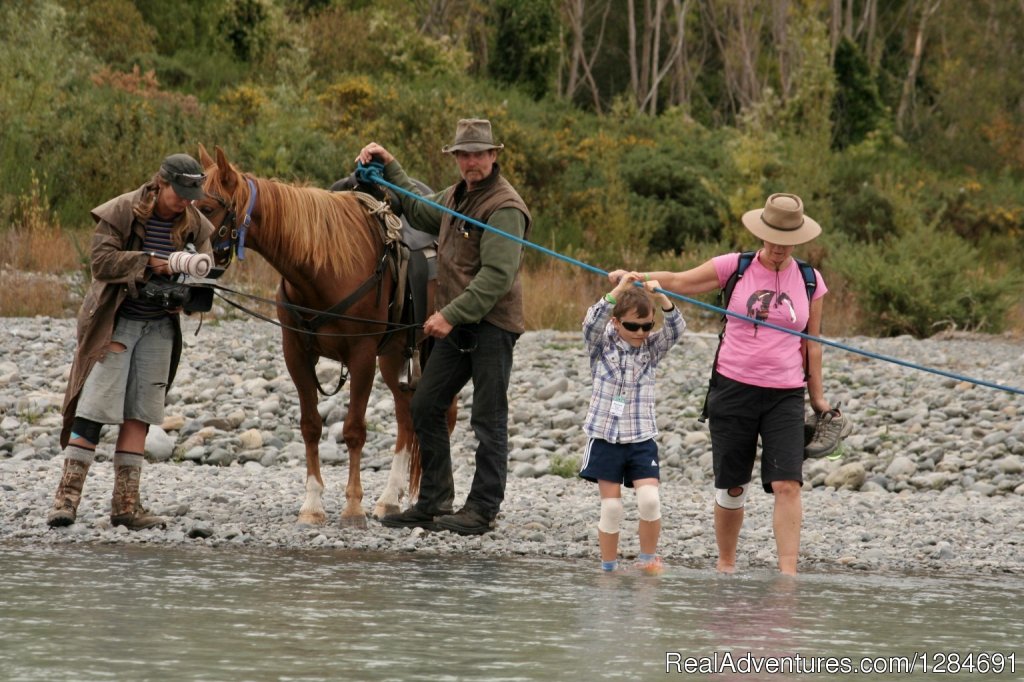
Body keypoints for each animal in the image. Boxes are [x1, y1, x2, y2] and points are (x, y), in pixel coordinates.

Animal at [193, 143, 417, 524]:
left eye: (207, 208)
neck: (324, 267)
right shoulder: (296, 354)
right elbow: (310, 426)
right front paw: (312, 504)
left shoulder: (361, 356)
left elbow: (354, 430)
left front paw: (353, 506)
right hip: (393, 358)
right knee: (406, 415)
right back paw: (390, 498)